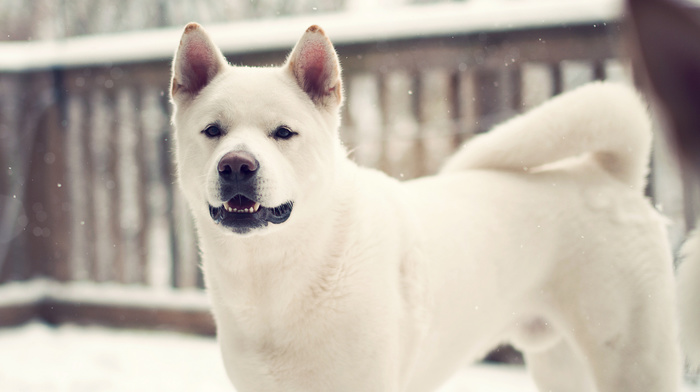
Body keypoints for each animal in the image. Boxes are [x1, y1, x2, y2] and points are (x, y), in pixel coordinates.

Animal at [168, 22, 680, 392]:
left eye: (283, 133)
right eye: (213, 131)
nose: (237, 165)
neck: (275, 277)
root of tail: (608, 174)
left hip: (634, 363)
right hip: (561, 365)